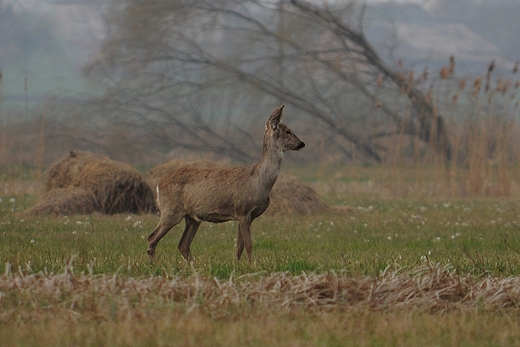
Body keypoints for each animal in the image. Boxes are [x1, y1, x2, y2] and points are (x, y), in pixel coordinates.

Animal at [146, 105, 304, 264]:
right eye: (287, 131)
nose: (301, 143)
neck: (259, 182)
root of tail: (159, 184)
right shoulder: (243, 210)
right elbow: (248, 244)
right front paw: (251, 265)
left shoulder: (249, 216)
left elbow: (239, 246)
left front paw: (237, 265)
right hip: (171, 210)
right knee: (152, 238)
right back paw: (154, 265)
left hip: (192, 217)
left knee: (183, 244)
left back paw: (194, 265)